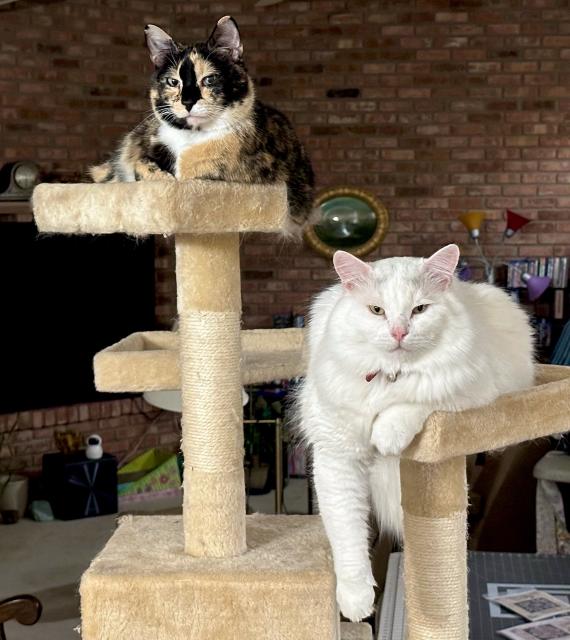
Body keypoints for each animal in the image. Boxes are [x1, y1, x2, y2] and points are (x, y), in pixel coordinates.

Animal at [87, 16, 316, 230]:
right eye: (173, 81)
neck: (191, 135)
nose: (188, 101)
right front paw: (164, 179)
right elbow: (140, 163)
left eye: (209, 79)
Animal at [296, 245, 536, 620]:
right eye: (376, 310)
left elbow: (417, 400)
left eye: (419, 310)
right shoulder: (337, 457)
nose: (398, 333)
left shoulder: (471, 391)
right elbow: (348, 536)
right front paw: (356, 603)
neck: (388, 376)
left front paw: (386, 435)